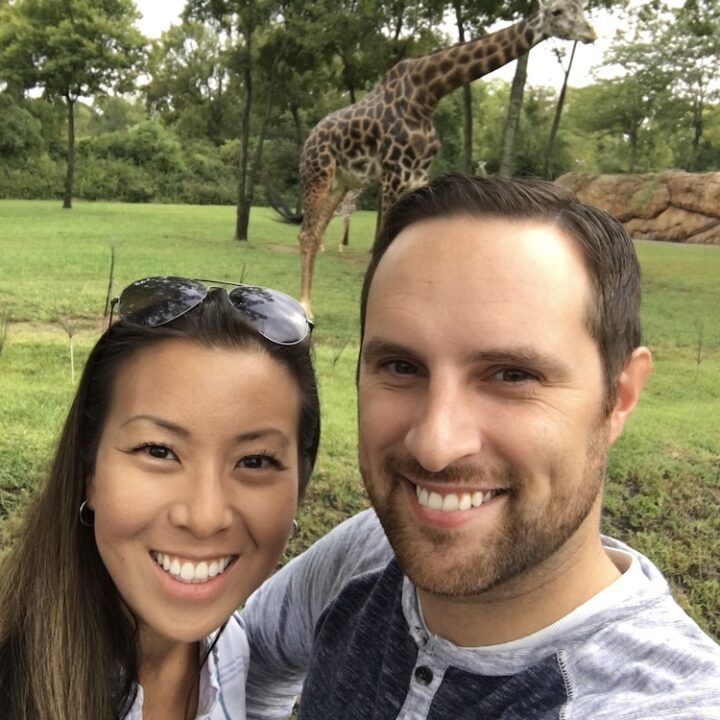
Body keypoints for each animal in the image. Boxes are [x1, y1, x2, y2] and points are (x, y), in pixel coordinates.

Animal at [294, 0, 596, 318]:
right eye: (556, 12)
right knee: (306, 234)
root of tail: (310, 139)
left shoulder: (417, 174)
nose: (591, 33)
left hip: (340, 184)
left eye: (582, 8)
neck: (428, 92)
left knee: (316, 232)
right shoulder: (393, 172)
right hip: (317, 175)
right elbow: (379, 245)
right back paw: (305, 306)